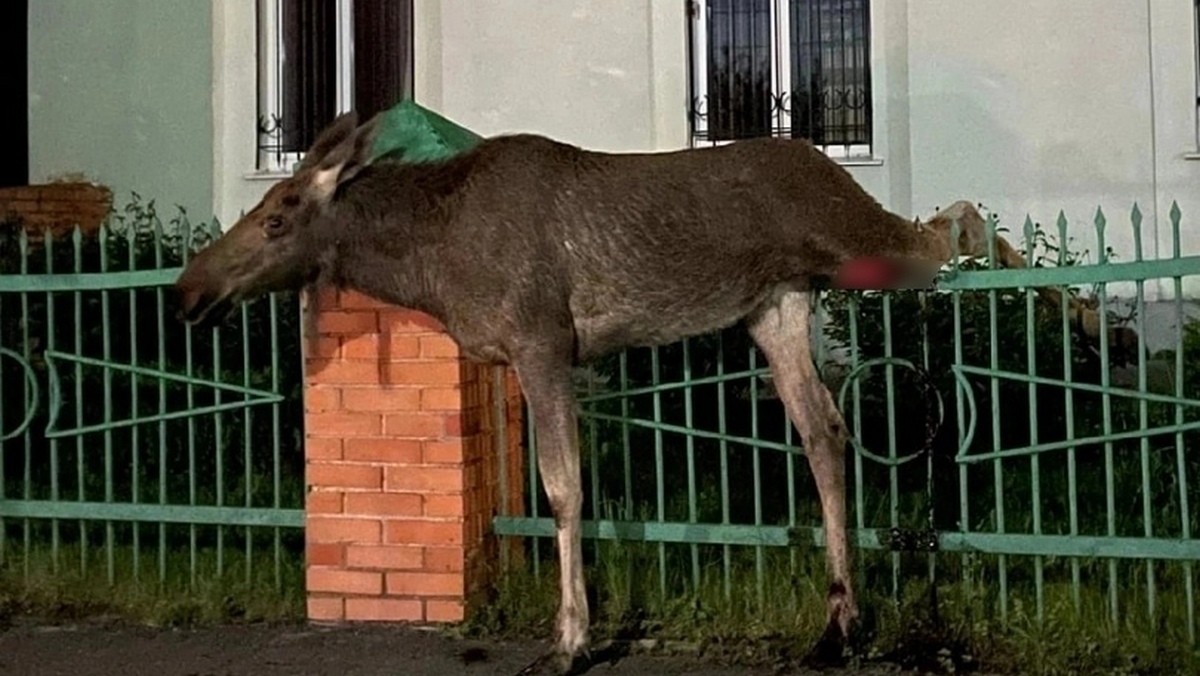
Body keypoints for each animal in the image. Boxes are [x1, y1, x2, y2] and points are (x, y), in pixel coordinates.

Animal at [175, 109, 1113, 672]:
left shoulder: (544, 342)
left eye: (279, 216)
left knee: (963, 221)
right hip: (778, 302)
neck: (429, 263)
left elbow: (564, 491)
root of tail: (822, 163)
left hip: (851, 238)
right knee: (826, 429)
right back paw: (839, 622)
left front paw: (570, 640)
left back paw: (1100, 323)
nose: (188, 290)